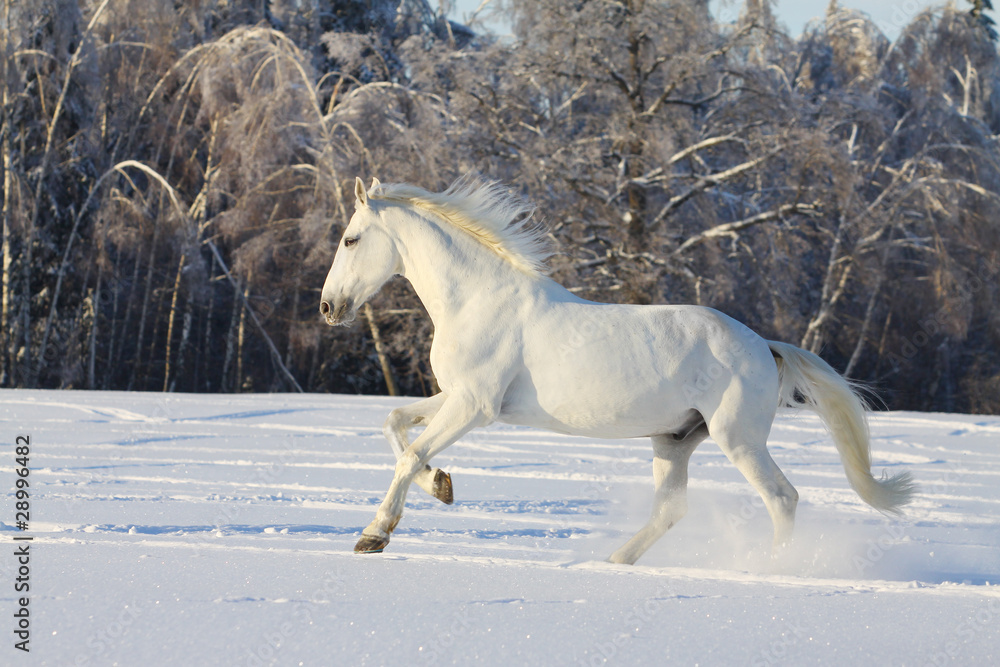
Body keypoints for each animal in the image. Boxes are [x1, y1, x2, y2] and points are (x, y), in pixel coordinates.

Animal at [319, 176, 916, 565]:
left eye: (351, 238)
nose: (328, 308)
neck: (479, 300)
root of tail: (764, 345)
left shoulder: (475, 406)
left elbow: (409, 452)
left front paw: (374, 535)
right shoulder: (460, 397)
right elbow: (395, 424)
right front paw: (441, 485)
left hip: (737, 438)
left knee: (781, 498)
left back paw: (770, 569)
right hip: (675, 441)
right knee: (671, 510)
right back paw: (612, 564)